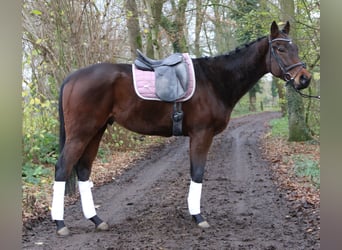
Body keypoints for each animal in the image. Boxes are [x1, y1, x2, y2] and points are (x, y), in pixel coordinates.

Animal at [50, 21, 310, 234]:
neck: (214, 81)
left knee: (83, 170)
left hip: (96, 131)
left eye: (295, 48)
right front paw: (198, 217)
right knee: (63, 168)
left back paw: (96, 220)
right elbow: (198, 173)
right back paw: (60, 224)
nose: (304, 79)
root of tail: (72, 77)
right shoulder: (202, 134)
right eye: (280, 49)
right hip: (81, 133)